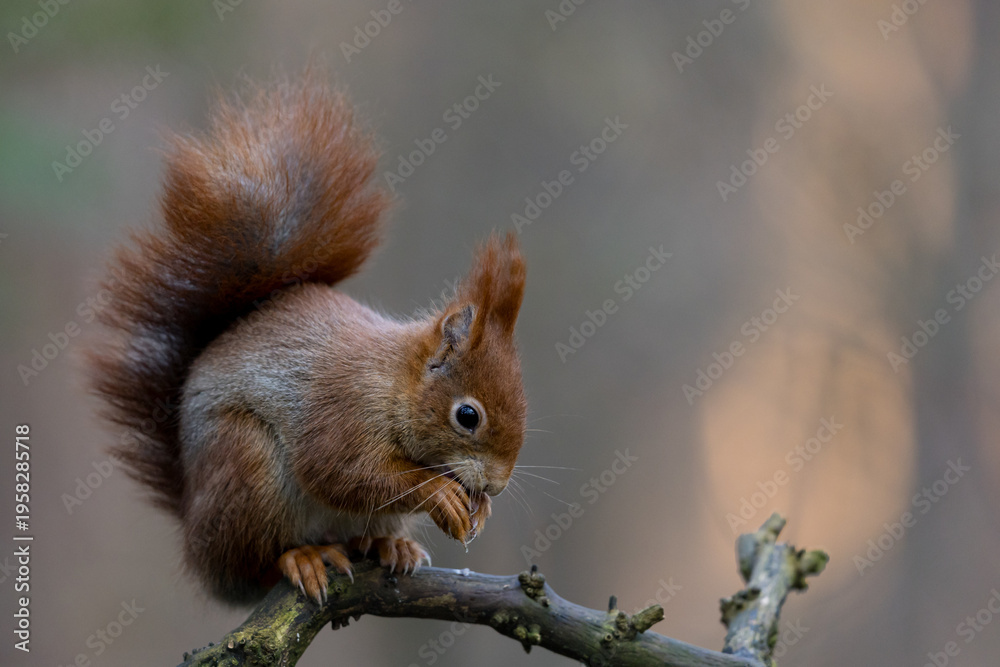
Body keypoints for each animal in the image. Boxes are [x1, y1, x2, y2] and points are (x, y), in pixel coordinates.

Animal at [86, 72, 527, 606]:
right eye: (467, 416)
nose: (498, 485)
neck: (392, 381)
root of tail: (196, 539)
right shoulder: (337, 409)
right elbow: (341, 472)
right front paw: (437, 490)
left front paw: (479, 507)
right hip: (245, 467)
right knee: (255, 563)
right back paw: (300, 557)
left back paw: (388, 544)